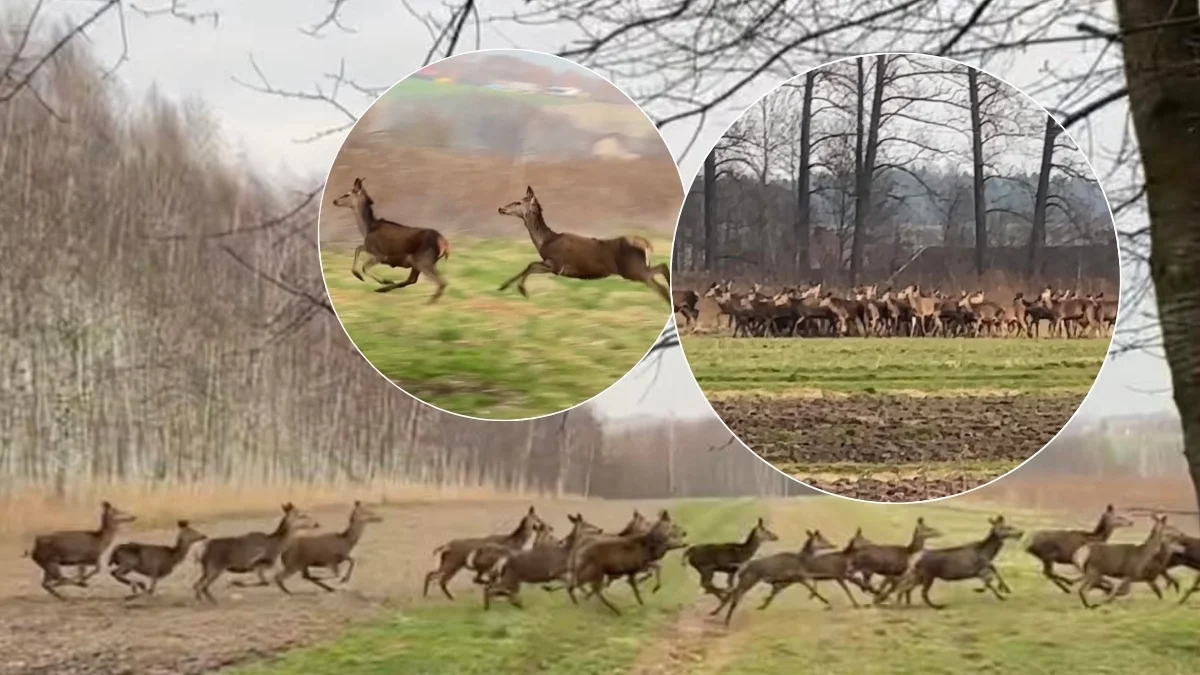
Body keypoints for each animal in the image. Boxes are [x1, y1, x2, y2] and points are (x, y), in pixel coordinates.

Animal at [492, 182, 672, 300]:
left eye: (518, 202)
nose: (500, 208)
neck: (546, 241)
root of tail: (648, 246)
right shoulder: (554, 266)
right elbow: (529, 265)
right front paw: (502, 286)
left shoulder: (557, 265)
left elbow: (531, 265)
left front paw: (522, 290)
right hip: (637, 269)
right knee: (661, 273)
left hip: (632, 270)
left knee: (660, 279)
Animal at [705, 526, 840, 624]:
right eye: (821, 539)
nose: (833, 545)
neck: (801, 560)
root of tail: (743, 568)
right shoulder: (796, 576)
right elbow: (811, 586)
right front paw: (827, 603)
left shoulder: (787, 580)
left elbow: (775, 592)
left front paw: (762, 605)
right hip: (749, 579)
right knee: (735, 595)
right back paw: (725, 620)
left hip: (746, 580)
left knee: (732, 593)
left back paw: (715, 613)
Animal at [883, 511, 1022, 607]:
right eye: (1006, 527)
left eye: (1010, 526)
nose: (1021, 533)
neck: (987, 553)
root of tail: (916, 559)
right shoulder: (978, 569)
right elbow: (989, 581)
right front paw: (992, 593)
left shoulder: (984, 567)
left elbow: (995, 574)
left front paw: (1005, 589)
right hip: (927, 575)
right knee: (915, 590)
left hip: (921, 576)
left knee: (905, 587)